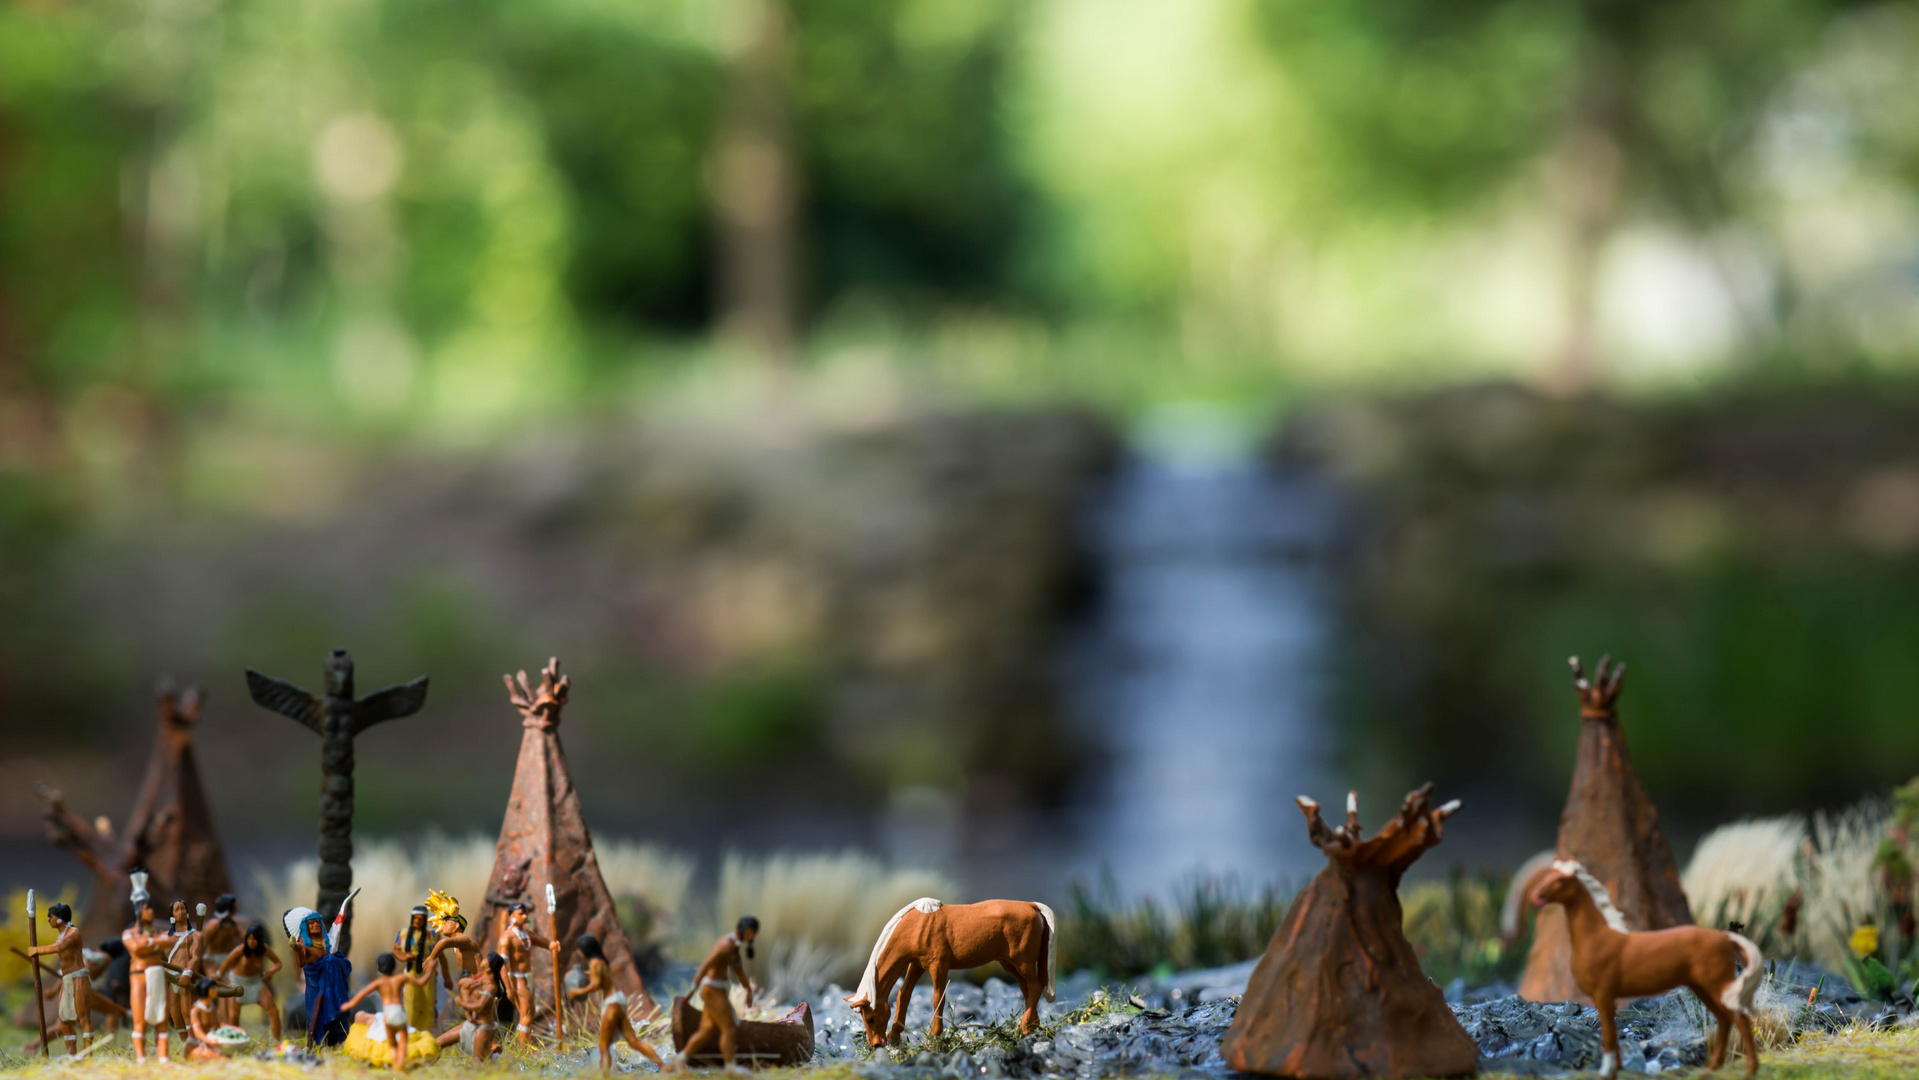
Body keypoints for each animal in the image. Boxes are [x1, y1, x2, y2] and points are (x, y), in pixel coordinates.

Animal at [840, 901, 1059, 1051]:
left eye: (870, 1019)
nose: (876, 1044)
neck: (916, 926)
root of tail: (1031, 905)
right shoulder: (916, 965)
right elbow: (904, 995)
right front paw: (895, 1036)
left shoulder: (938, 966)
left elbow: (938, 998)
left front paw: (934, 1037)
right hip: (1009, 963)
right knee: (1027, 989)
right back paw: (1033, 1026)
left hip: (1022, 962)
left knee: (1035, 987)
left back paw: (1026, 1027)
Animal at [1535, 859, 1757, 1074]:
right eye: (1546, 876)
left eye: (1559, 880)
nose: (1538, 897)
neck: (1597, 937)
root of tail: (1726, 937)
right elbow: (1612, 1034)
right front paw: (1618, 1069)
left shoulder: (1603, 995)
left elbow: (1608, 1035)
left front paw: (1607, 1071)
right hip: (1703, 989)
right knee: (1725, 1020)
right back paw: (1713, 1067)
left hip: (1718, 985)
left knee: (1741, 1019)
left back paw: (1750, 1069)